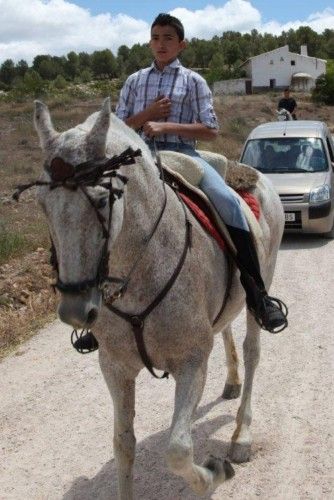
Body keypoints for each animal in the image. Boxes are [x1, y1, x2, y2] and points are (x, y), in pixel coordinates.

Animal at [32, 98, 284, 500]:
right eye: (43, 204)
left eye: (103, 199)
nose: (74, 310)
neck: (141, 268)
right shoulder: (115, 367)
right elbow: (123, 443)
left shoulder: (192, 362)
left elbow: (178, 450)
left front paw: (215, 471)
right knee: (226, 329)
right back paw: (231, 382)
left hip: (263, 280)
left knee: (252, 350)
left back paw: (241, 437)